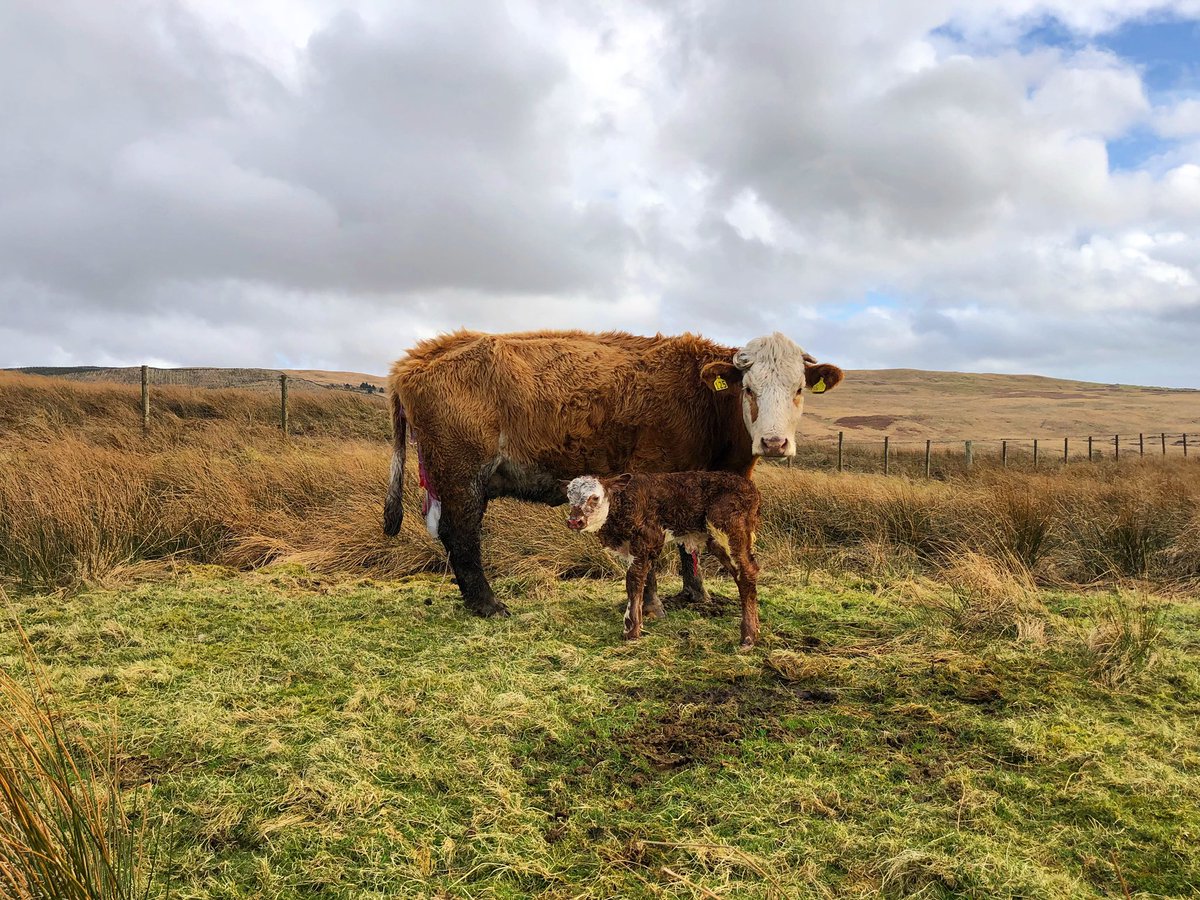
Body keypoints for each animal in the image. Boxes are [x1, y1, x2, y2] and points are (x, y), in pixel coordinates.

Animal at [383, 329, 842, 618]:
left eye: (799, 389)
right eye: (748, 389)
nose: (774, 443)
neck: (703, 403)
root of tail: (419, 359)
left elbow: (690, 542)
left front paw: (697, 596)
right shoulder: (651, 472)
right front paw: (652, 605)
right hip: (462, 476)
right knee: (460, 537)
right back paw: (488, 605)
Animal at [565, 471, 762, 649]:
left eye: (595, 498)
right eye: (569, 497)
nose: (574, 521)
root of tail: (750, 487)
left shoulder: (646, 541)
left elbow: (634, 581)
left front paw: (631, 631)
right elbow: (644, 580)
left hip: (730, 530)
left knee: (746, 572)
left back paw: (748, 637)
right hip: (717, 540)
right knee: (741, 573)